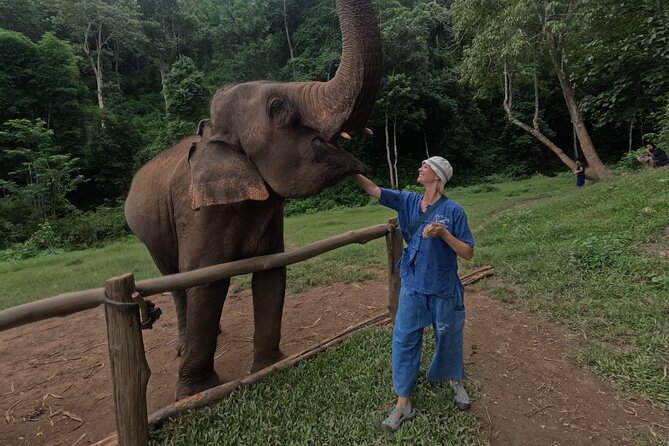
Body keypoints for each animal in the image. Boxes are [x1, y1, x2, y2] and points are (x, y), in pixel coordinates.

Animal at [124, 0, 382, 399]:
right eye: (277, 106)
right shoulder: (196, 213)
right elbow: (205, 280)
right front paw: (196, 392)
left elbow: (271, 272)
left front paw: (269, 366)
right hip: (150, 233)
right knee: (175, 278)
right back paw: (183, 347)